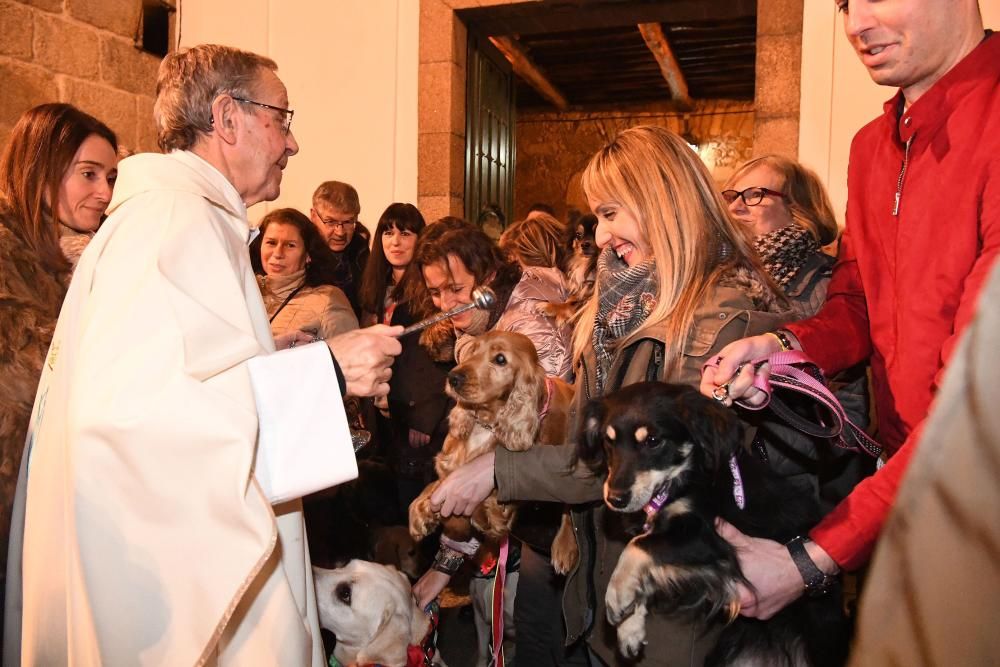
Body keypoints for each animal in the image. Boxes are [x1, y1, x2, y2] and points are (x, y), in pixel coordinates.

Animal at [406, 328, 580, 576]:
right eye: (472, 351)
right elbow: (437, 482)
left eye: (500, 359)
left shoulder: (498, 511)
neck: (486, 424)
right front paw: (420, 512)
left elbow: (475, 509)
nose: (453, 378)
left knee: (569, 506)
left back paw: (565, 547)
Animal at [580, 380, 852, 667]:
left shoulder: (707, 537)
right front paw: (629, 626)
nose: (615, 499)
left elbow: (637, 546)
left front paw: (617, 594)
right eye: (608, 441)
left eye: (653, 441)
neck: (685, 476)